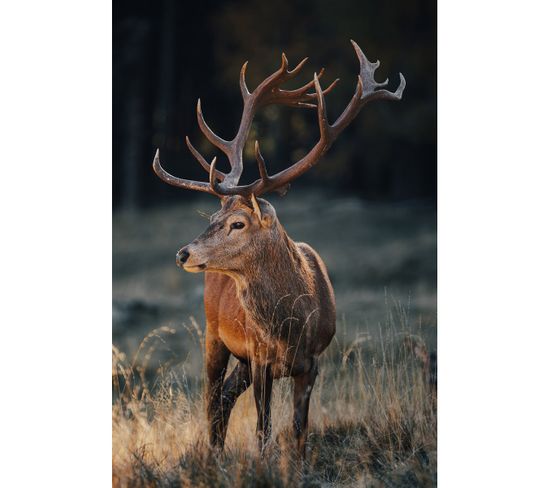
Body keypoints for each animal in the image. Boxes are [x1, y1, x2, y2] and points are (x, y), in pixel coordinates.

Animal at [151, 40, 406, 456]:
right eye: (212, 218)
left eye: (238, 223)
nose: (183, 253)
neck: (293, 327)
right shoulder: (259, 358)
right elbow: (263, 430)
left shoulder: (313, 361)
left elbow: (299, 429)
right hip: (213, 334)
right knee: (211, 400)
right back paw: (213, 456)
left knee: (223, 399)